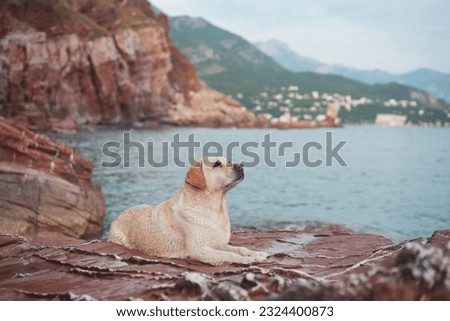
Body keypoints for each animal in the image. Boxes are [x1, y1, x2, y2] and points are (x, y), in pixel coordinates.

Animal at [109, 156, 268, 264]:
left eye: (228, 160)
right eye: (217, 164)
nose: (241, 165)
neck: (215, 208)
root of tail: (119, 215)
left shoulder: (218, 243)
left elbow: (240, 249)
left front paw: (256, 254)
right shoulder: (199, 250)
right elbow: (230, 255)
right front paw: (248, 260)